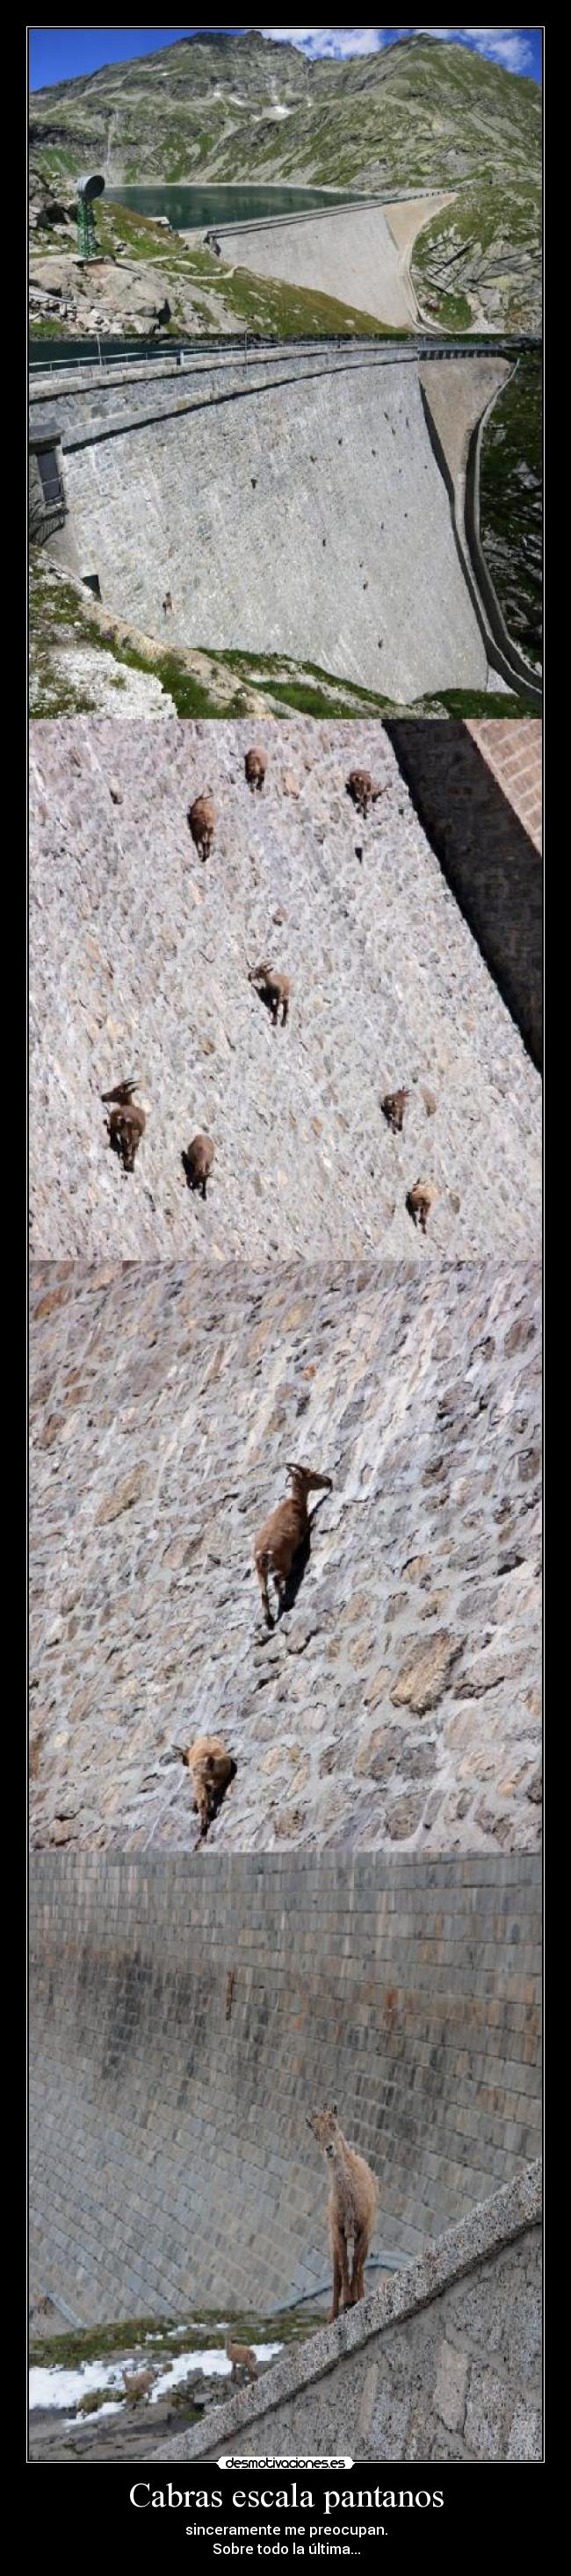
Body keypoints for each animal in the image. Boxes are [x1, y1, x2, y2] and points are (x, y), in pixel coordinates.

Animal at [254, 1461, 332, 1628]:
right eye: (312, 1475)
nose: (329, 1481)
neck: (296, 1502)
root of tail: (264, 1552)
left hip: (260, 1571)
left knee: (263, 1593)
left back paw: (269, 1620)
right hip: (284, 1563)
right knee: (276, 1580)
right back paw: (285, 1604)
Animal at [307, 2105, 378, 2323]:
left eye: (334, 2125)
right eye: (315, 2134)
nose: (329, 2148)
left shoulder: (364, 2229)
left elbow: (357, 2262)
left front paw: (356, 2297)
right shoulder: (338, 2231)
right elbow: (344, 2263)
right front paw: (347, 2300)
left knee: (360, 2264)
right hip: (332, 2242)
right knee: (337, 2274)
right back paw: (333, 2315)